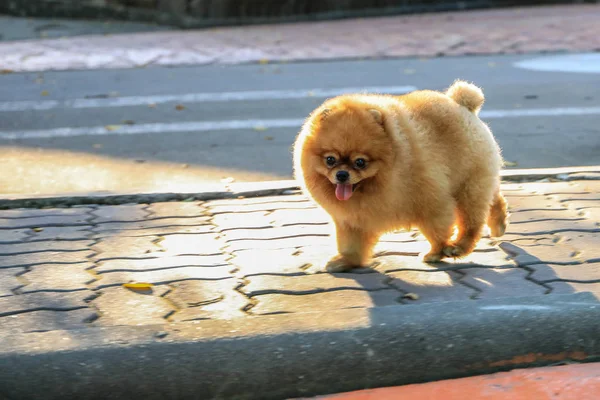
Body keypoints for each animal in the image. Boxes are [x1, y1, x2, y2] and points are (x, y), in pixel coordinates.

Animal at [292, 80, 508, 272]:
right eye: (330, 160)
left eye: (360, 162)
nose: (342, 174)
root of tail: (462, 104)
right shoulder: (352, 220)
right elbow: (350, 243)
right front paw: (346, 261)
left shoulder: (431, 202)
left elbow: (437, 230)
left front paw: (435, 253)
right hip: (478, 180)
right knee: (494, 198)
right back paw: (499, 225)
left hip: (467, 186)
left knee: (472, 221)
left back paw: (458, 247)